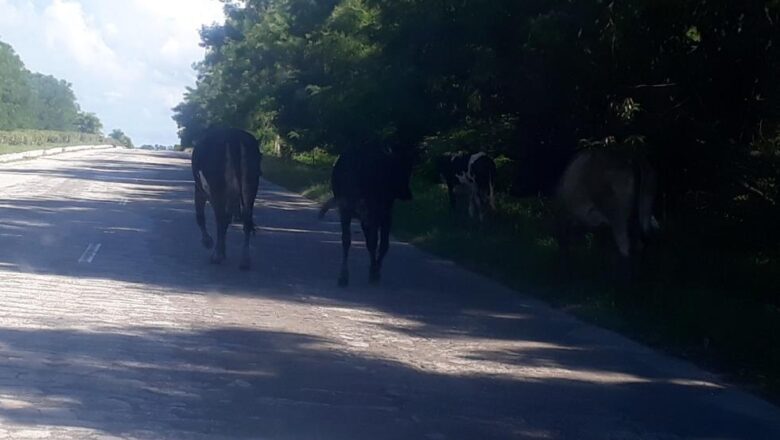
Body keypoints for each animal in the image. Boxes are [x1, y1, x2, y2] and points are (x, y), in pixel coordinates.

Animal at [191, 127, 262, 270]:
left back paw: (217, 256)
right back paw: (245, 260)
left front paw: (208, 242)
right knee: (247, 219)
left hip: (217, 188)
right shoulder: (232, 196)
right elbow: (227, 220)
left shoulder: (200, 190)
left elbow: (201, 217)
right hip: (251, 185)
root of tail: (233, 136)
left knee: (220, 218)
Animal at [316, 146, 414, 288]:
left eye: (409, 170)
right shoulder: (382, 215)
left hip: (349, 211)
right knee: (361, 240)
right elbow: (379, 243)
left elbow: (376, 243)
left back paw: (345, 276)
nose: (408, 194)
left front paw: (374, 270)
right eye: (402, 171)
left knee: (348, 240)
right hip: (362, 212)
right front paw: (374, 272)